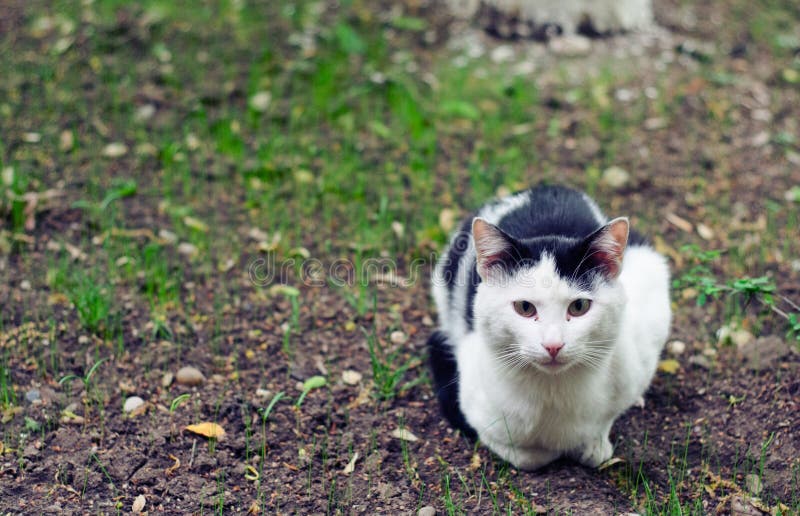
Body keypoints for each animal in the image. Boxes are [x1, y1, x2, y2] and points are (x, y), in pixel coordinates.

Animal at [428, 185, 672, 472]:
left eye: (579, 306)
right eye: (524, 307)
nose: (553, 345)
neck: (554, 392)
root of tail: (544, 188)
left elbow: (605, 421)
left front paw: (593, 445)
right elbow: (527, 456)